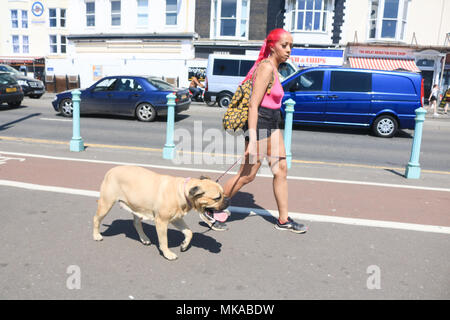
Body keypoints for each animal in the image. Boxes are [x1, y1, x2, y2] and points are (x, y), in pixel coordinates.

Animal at [92, 165, 229, 260]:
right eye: (217, 198)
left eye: (224, 194)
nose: (228, 200)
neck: (182, 192)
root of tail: (111, 170)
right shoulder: (162, 222)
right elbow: (164, 241)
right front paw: (167, 253)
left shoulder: (177, 219)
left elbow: (189, 232)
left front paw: (184, 245)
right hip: (106, 204)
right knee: (96, 219)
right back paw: (96, 235)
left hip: (137, 207)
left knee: (136, 223)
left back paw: (144, 238)